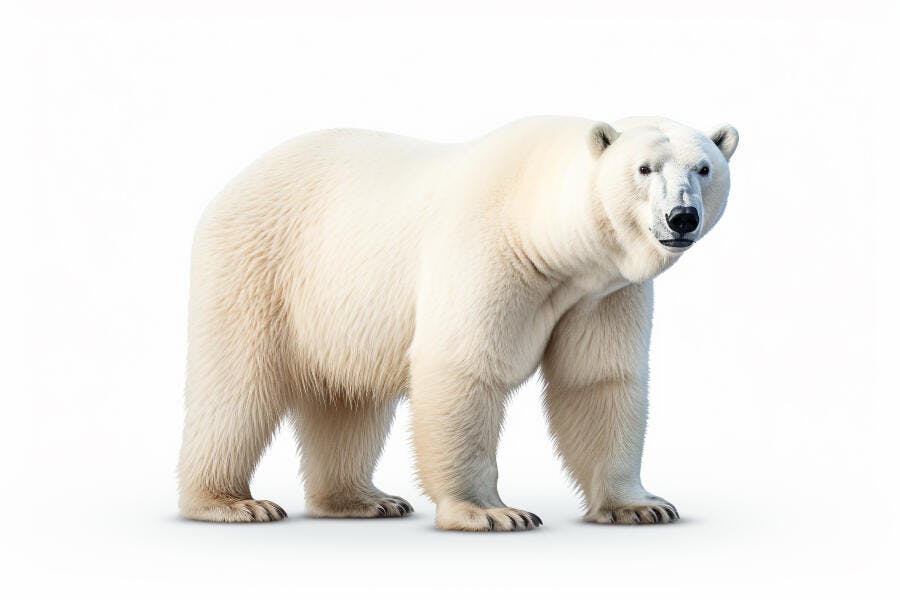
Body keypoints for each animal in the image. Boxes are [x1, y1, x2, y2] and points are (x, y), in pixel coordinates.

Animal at [178, 116, 738, 531]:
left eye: (704, 167)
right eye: (644, 168)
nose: (681, 218)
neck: (539, 223)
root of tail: (238, 178)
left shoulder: (600, 293)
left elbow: (599, 381)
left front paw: (641, 505)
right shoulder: (489, 252)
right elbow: (464, 368)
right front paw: (492, 512)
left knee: (349, 399)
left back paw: (365, 500)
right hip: (261, 266)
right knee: (237, 387)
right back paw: (231, 503)